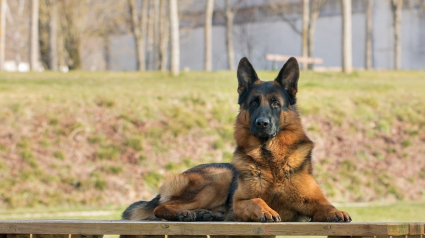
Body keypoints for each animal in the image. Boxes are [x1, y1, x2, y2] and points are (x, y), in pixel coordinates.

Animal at [121, 57, 352, 223]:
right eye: (254, 102)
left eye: (276, 104)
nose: (262, 123)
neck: (270, 159)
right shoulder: (240, 202)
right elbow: (255, 200)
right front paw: (266, 210)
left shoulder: (313, 201)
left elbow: (326, 205)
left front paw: (337, 212)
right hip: (219, 178)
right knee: (162, 207)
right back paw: (184, 214)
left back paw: (207, 214)